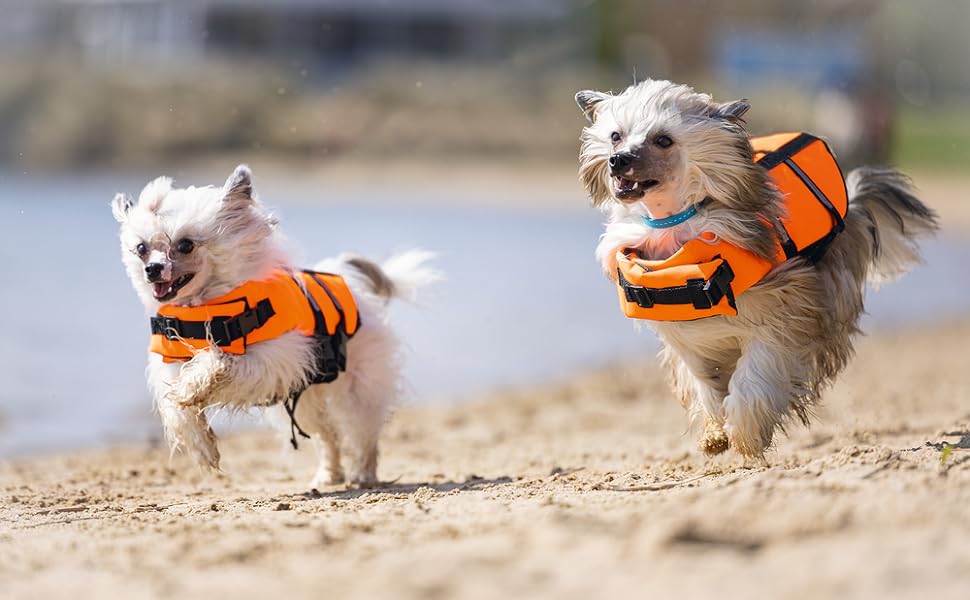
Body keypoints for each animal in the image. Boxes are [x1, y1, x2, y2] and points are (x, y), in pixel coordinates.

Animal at [110, 165, 438, 488]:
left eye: (185, 245)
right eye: (141, 248)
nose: (152, 269)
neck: (205, 305)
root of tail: (347, 276)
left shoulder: (275, 362)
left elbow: (220, 361)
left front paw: (194, 387)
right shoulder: (171, 363)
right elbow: (176, 406)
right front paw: (201, 445)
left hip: (358, 387)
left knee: (363, 432)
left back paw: (364, 474)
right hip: (307, 400)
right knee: (327, 435)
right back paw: (328, 474)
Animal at [576, 78, 936, 454]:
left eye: (663, 139)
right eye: (616, 136)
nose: (618, 160)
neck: (676, 225)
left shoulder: (783, 310)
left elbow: (756, 373)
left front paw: (746, 431)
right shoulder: (687, 338)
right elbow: (703, 382)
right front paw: (714, 431)